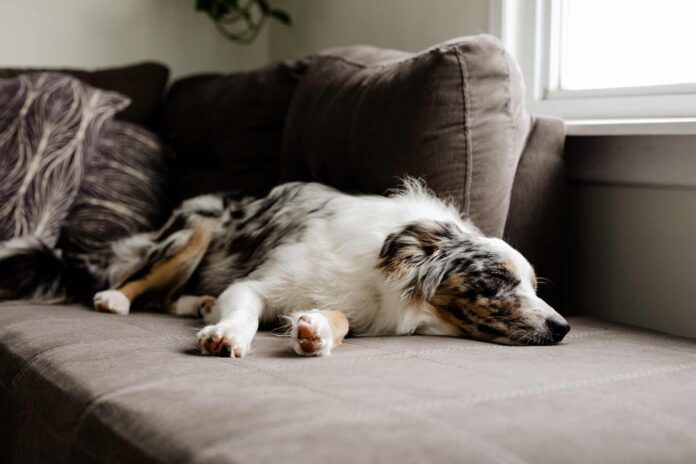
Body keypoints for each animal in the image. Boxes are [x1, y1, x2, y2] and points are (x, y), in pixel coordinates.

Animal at [85, 179, 572, 358]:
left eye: (534, 286)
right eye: (497, 279)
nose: (563, 328)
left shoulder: (360, 308)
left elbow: (339, 321)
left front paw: (315, 329)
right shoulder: (254, 285)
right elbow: (244, 311)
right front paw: (226, 335)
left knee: (170, 298)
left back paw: (199, 303)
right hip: (197, 228)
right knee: (144, 278)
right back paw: (115, 298)